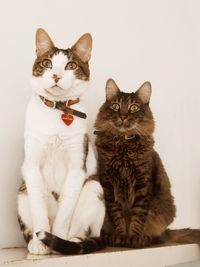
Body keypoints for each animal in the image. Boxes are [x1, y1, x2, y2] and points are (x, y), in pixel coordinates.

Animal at [17, 28, 105, 255]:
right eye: (47, 63)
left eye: (71, 65)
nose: (56, 75)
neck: (57, 110)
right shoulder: (32, 167)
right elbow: (39, 210)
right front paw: (41, 243)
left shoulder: (77, 167)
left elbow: (64, 215)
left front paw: (57, 241)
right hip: (22, 192)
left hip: (94, 188)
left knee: (85, 231)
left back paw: (73, 241)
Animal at [36, 78, 200, 254]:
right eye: (115, 106)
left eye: (133, 107)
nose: (123, 116)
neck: (123, 145)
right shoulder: (108, 183)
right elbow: (117, 215)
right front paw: (121, 237)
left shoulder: (143, 184)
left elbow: (138, 215)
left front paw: (134, 238)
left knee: (156, 235)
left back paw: (147, 238)